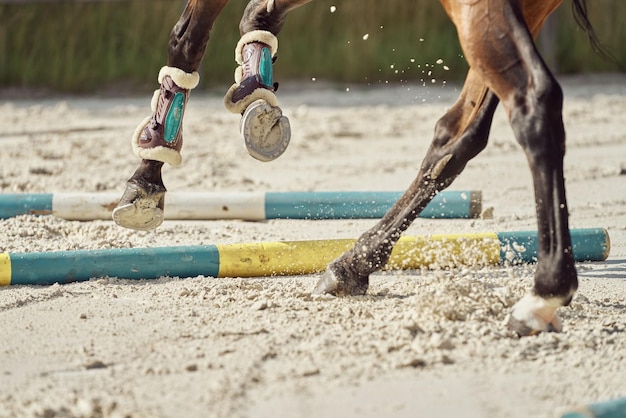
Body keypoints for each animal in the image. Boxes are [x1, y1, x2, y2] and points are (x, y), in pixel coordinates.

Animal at [112, 0, 604, 336]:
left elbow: (188, 35)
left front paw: (149, 174)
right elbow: (258, 14)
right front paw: (255, 77)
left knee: (533, 100)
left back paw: (544, 293)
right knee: (459, 134)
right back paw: (354, 263)